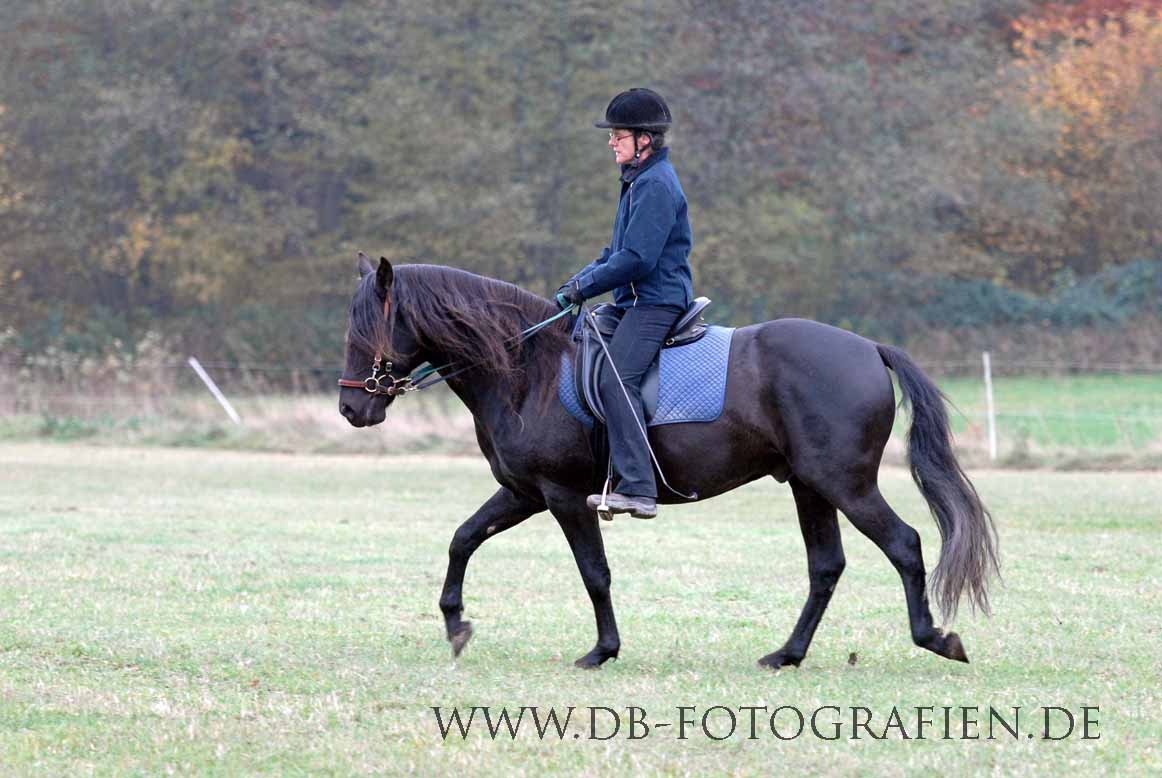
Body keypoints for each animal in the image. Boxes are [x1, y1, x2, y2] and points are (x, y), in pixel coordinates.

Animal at [336, 255, 999, 668]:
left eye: (369, 329)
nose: (350, 408)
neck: (528, 370)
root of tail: (868, 348)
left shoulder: (563, 496)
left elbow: (594, 572)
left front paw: (601, 651)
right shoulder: (524, 492)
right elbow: (462, 538)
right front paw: (456, 626)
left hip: (845, 483)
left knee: (904, 544)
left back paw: (935, 638)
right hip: (810, 485)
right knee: (826, 567)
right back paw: (786, 654)